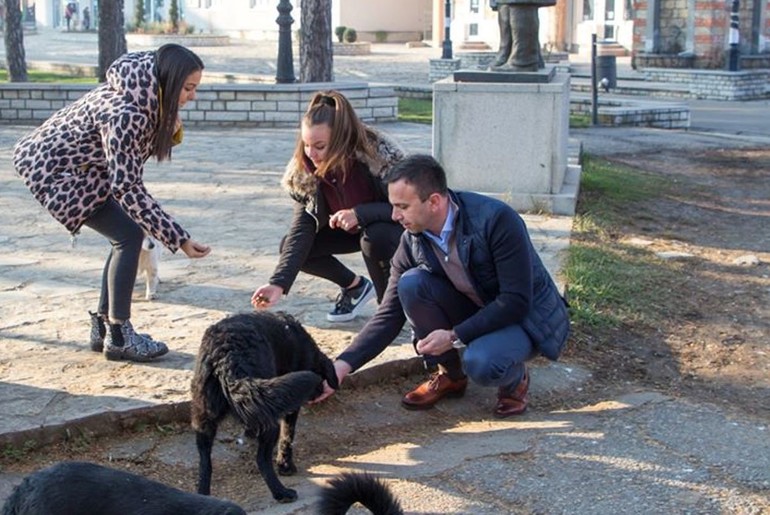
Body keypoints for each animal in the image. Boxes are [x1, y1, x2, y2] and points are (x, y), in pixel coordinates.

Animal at [190, 310, 338, 504]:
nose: (320, 389)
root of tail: (226, 355)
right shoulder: (288, 405)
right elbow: (287, 436)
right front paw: (285, 465)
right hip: (268, 418)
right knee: (261, 459)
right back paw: (281, 492)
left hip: (204, 417)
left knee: (205, 463)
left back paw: (203, 496)